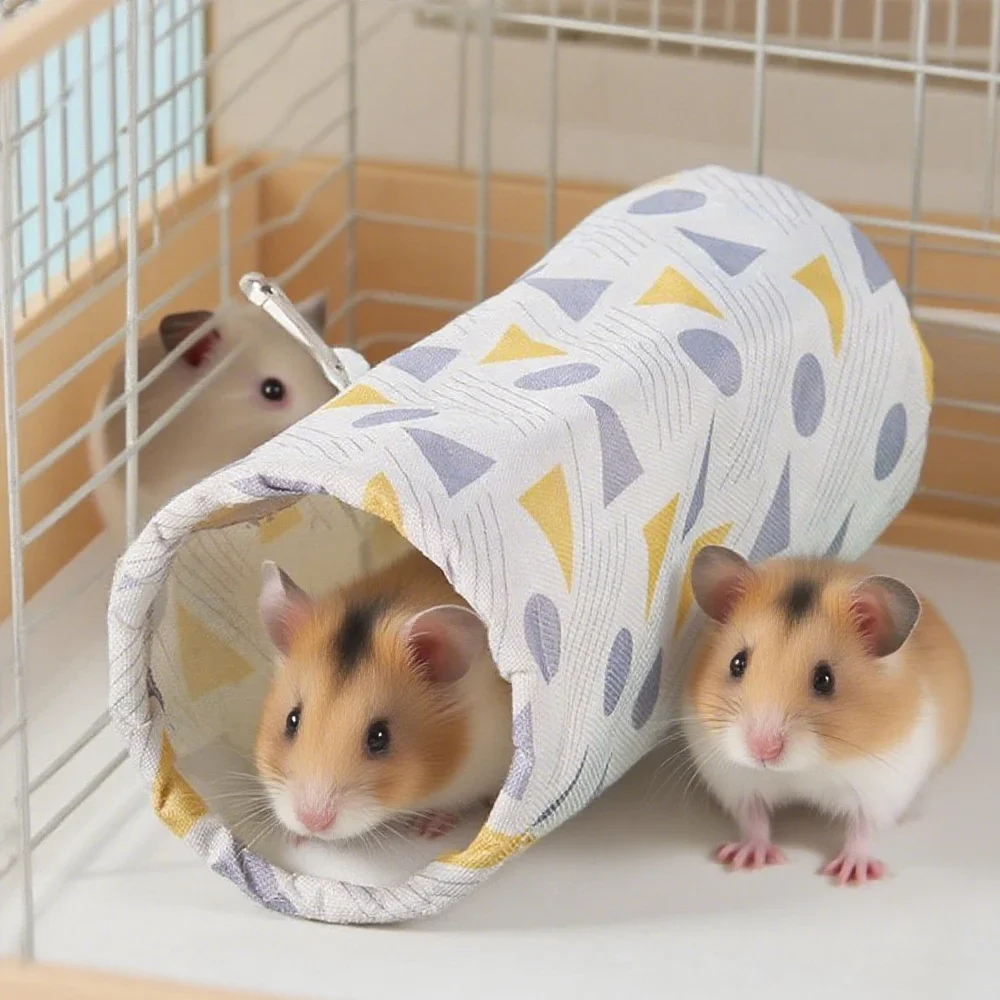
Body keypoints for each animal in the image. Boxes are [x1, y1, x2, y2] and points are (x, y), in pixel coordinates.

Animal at [683, 545, 971, 885]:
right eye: (737, 663)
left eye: (825, 679)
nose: (762, 751)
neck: (803, 768)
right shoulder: (736, 780)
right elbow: (754, 818)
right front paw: (746, 860)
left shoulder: (880, 786)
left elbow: (862, 829)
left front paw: (851, 875)